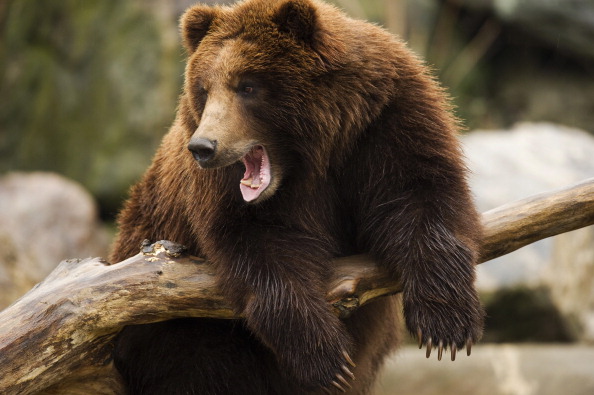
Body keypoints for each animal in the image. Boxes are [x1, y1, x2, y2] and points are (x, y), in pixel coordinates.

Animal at [110, 0, 480, 394]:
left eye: (247, 86)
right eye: (204, 88)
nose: (203, 147)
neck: (316, 151)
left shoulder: (386, 122)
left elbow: (419, 195)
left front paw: (445, 323)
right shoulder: (226, 196)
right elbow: (262, 252)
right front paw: (327, 357)